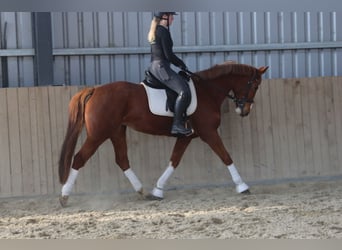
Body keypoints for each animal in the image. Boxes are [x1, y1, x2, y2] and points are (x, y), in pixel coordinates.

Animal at [58, 61, 268, 206]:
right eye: (255, 85)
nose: (244, 111)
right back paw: (64, 196)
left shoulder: (186, 136)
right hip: (98, 134)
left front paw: (158, 190)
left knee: (122, 160)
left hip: (116, 131)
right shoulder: (209, 133)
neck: (207, 92)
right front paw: (242, 186)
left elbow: (174, 161)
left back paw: (143, 192)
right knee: (79, 159)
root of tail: (94, 90)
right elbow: (226, 156)